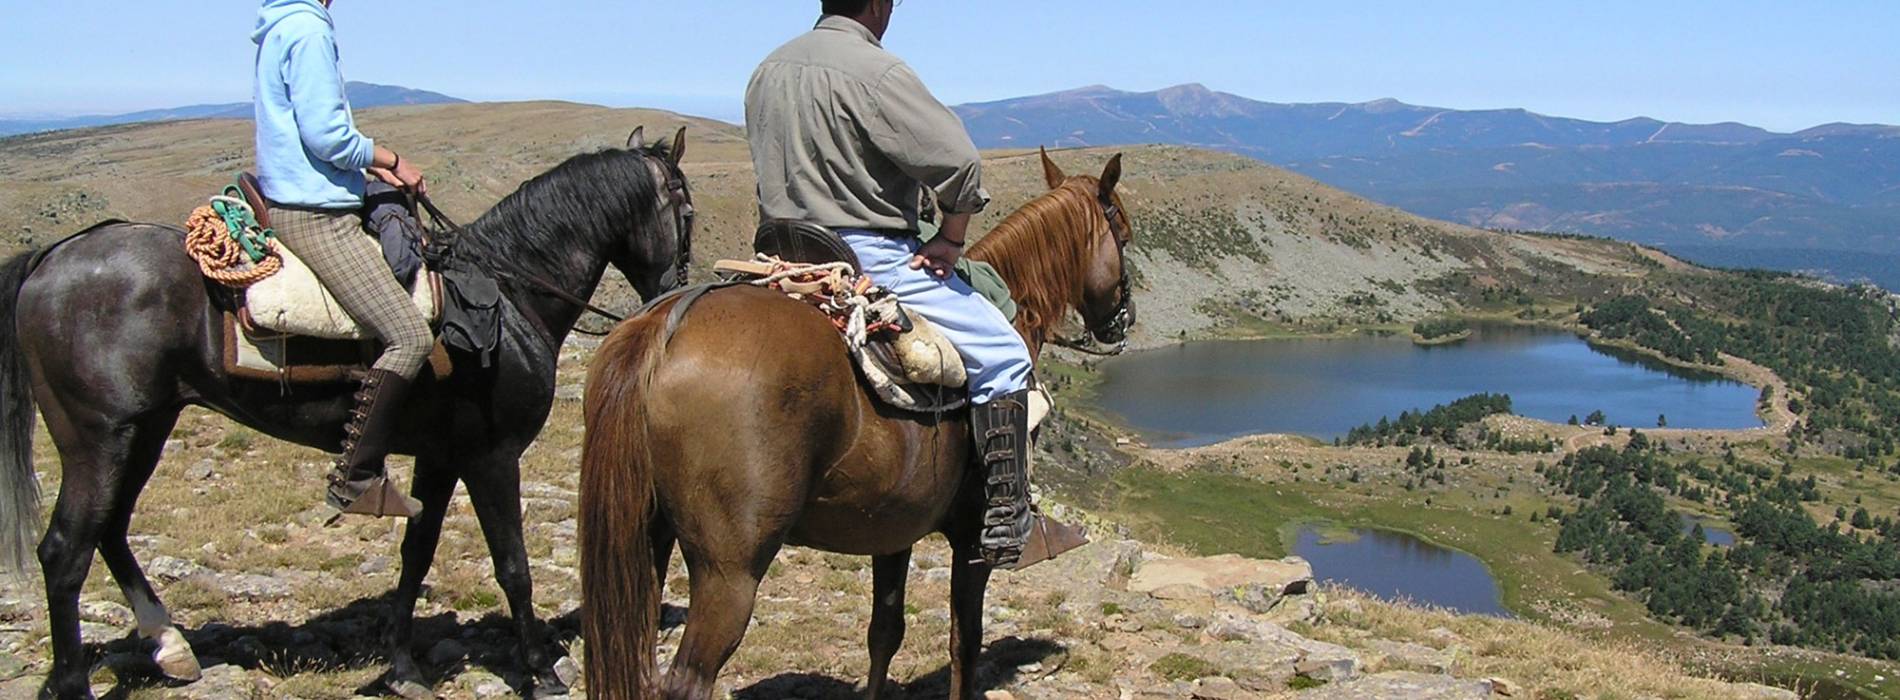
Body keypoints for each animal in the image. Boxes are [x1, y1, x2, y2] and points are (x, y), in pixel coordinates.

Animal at [0, 126, 694, 699]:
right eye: (685, 211)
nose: (672, 295)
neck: (509, 291)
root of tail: (52, 256)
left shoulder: (440, 458)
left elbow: (417, 554)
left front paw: (404, 669)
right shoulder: (490, 458)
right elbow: (513, 566)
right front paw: (542, 671)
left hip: (145, 429)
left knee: (110, 531)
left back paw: (172, 651)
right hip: (99, 439)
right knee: (65, 551)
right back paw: (74, 683)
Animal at [577, 148, 1134, 699]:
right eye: (1124, 236)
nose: (1122, 322)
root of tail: (667, 325)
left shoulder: (893, 531)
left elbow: (884, 632)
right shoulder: (971, 541)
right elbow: (965, 642)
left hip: (646, 543)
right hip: (729, 571)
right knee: (686, 680)